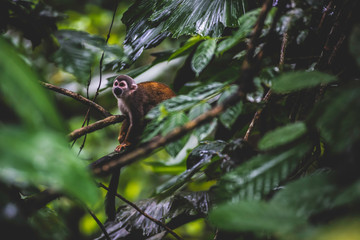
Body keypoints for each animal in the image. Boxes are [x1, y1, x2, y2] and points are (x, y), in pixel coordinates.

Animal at [105, 74, 176, 220]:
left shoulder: (135, 100)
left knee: (149, 109)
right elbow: (127, 118)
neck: (127, 96)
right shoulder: (121, 103)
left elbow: (137, 120)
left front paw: (126, 143)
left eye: (122, 85)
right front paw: (121, 137)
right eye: (116, 83)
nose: (116, 88)